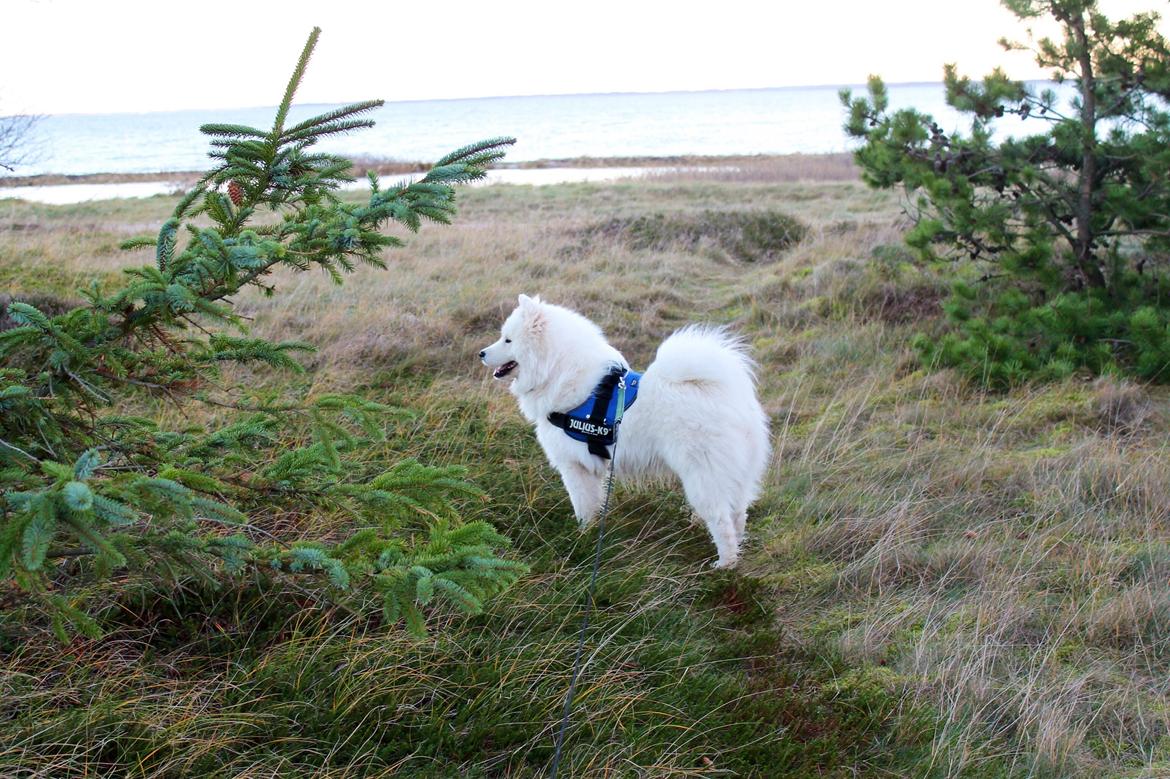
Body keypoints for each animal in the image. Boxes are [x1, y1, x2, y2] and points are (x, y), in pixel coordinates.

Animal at [479, 294, 772, 568]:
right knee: (738, 513)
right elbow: (593, 504)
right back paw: (736, 551)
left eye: (507, 340)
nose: (481, 353)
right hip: (735, 474)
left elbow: (581, 505)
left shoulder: (573, 466)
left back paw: (725, 564)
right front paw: (590, 531)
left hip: (702, 474)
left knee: (721, 519)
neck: (559, 371)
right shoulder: (591, 466)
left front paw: (580, 536)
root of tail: (728, 395)